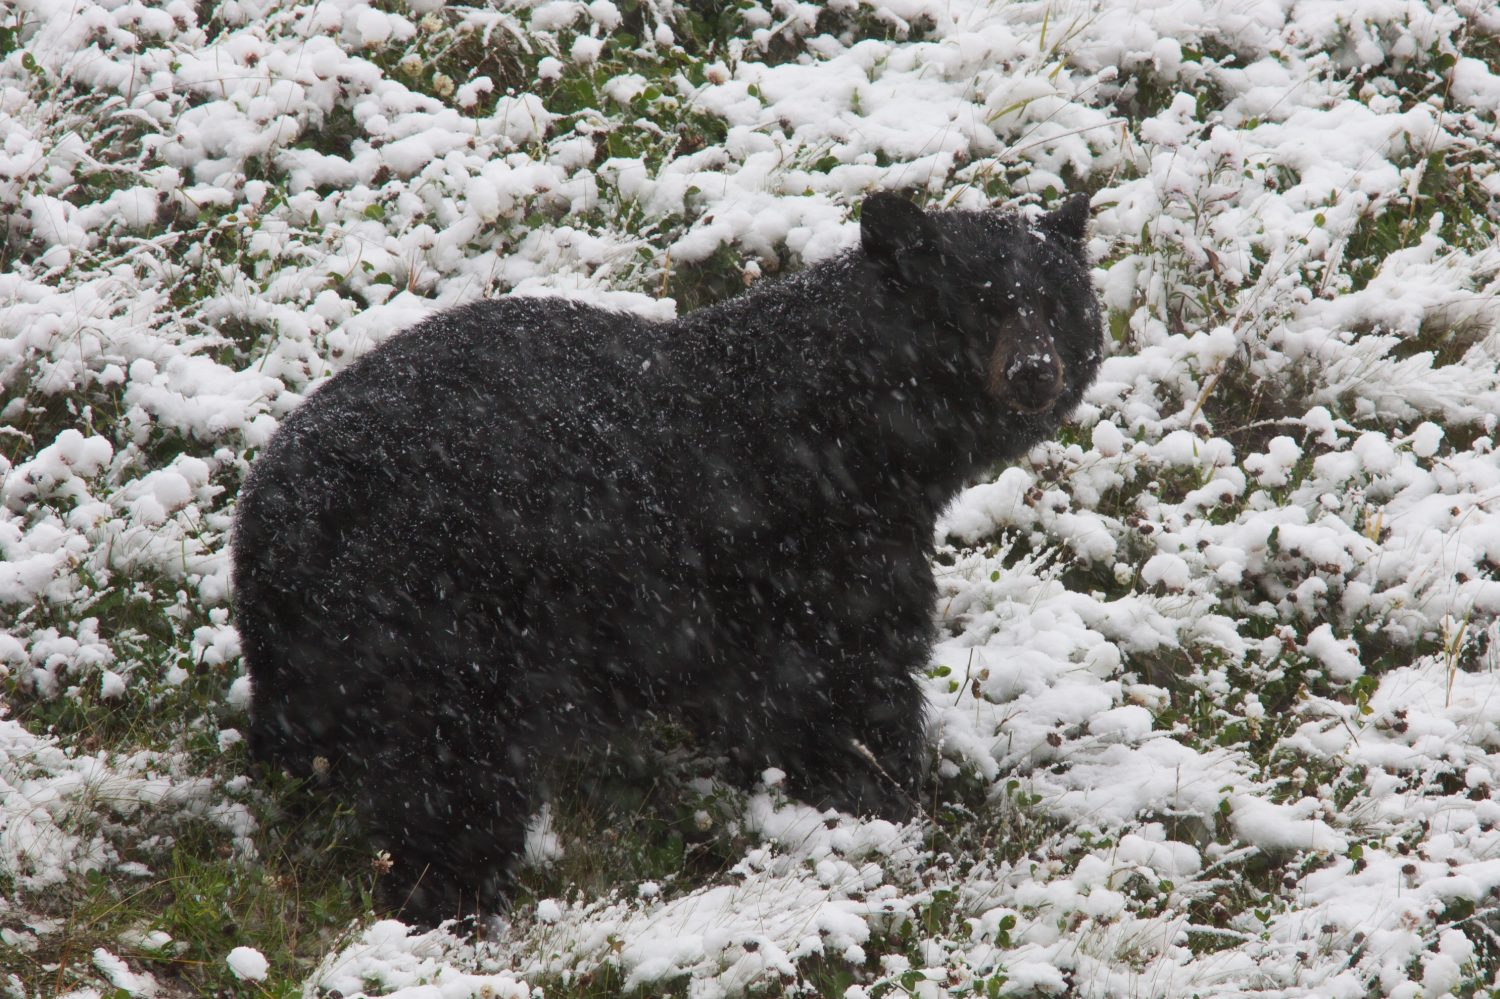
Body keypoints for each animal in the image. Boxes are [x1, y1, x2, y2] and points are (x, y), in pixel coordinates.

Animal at [231, 190, 1104, 924]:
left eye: (1058, 305)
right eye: (975, 304)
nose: (1034, 370)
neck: (850, 427)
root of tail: (264, 533)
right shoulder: (806, 544)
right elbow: (839, 677)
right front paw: (880, 794)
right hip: (432, 624)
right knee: (449, 780)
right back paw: (452, 900)